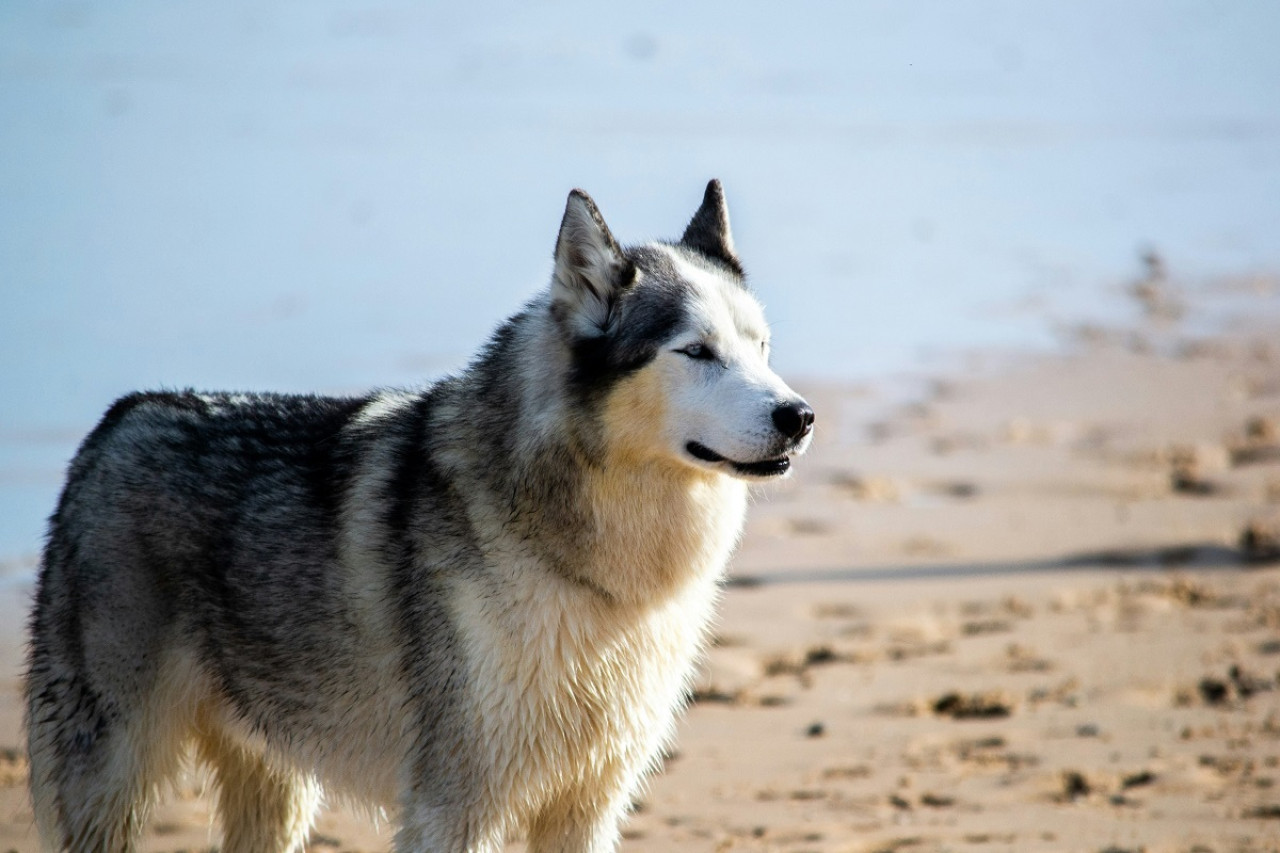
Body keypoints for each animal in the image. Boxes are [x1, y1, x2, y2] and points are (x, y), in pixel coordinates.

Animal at [30, 180, 814, 850]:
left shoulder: (587, 804)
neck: (593, 571)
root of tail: (121, 415)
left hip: (278, 792)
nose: (800, 416)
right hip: (116, 778)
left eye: (761, 348)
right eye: (697, 352)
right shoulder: (453, 806)